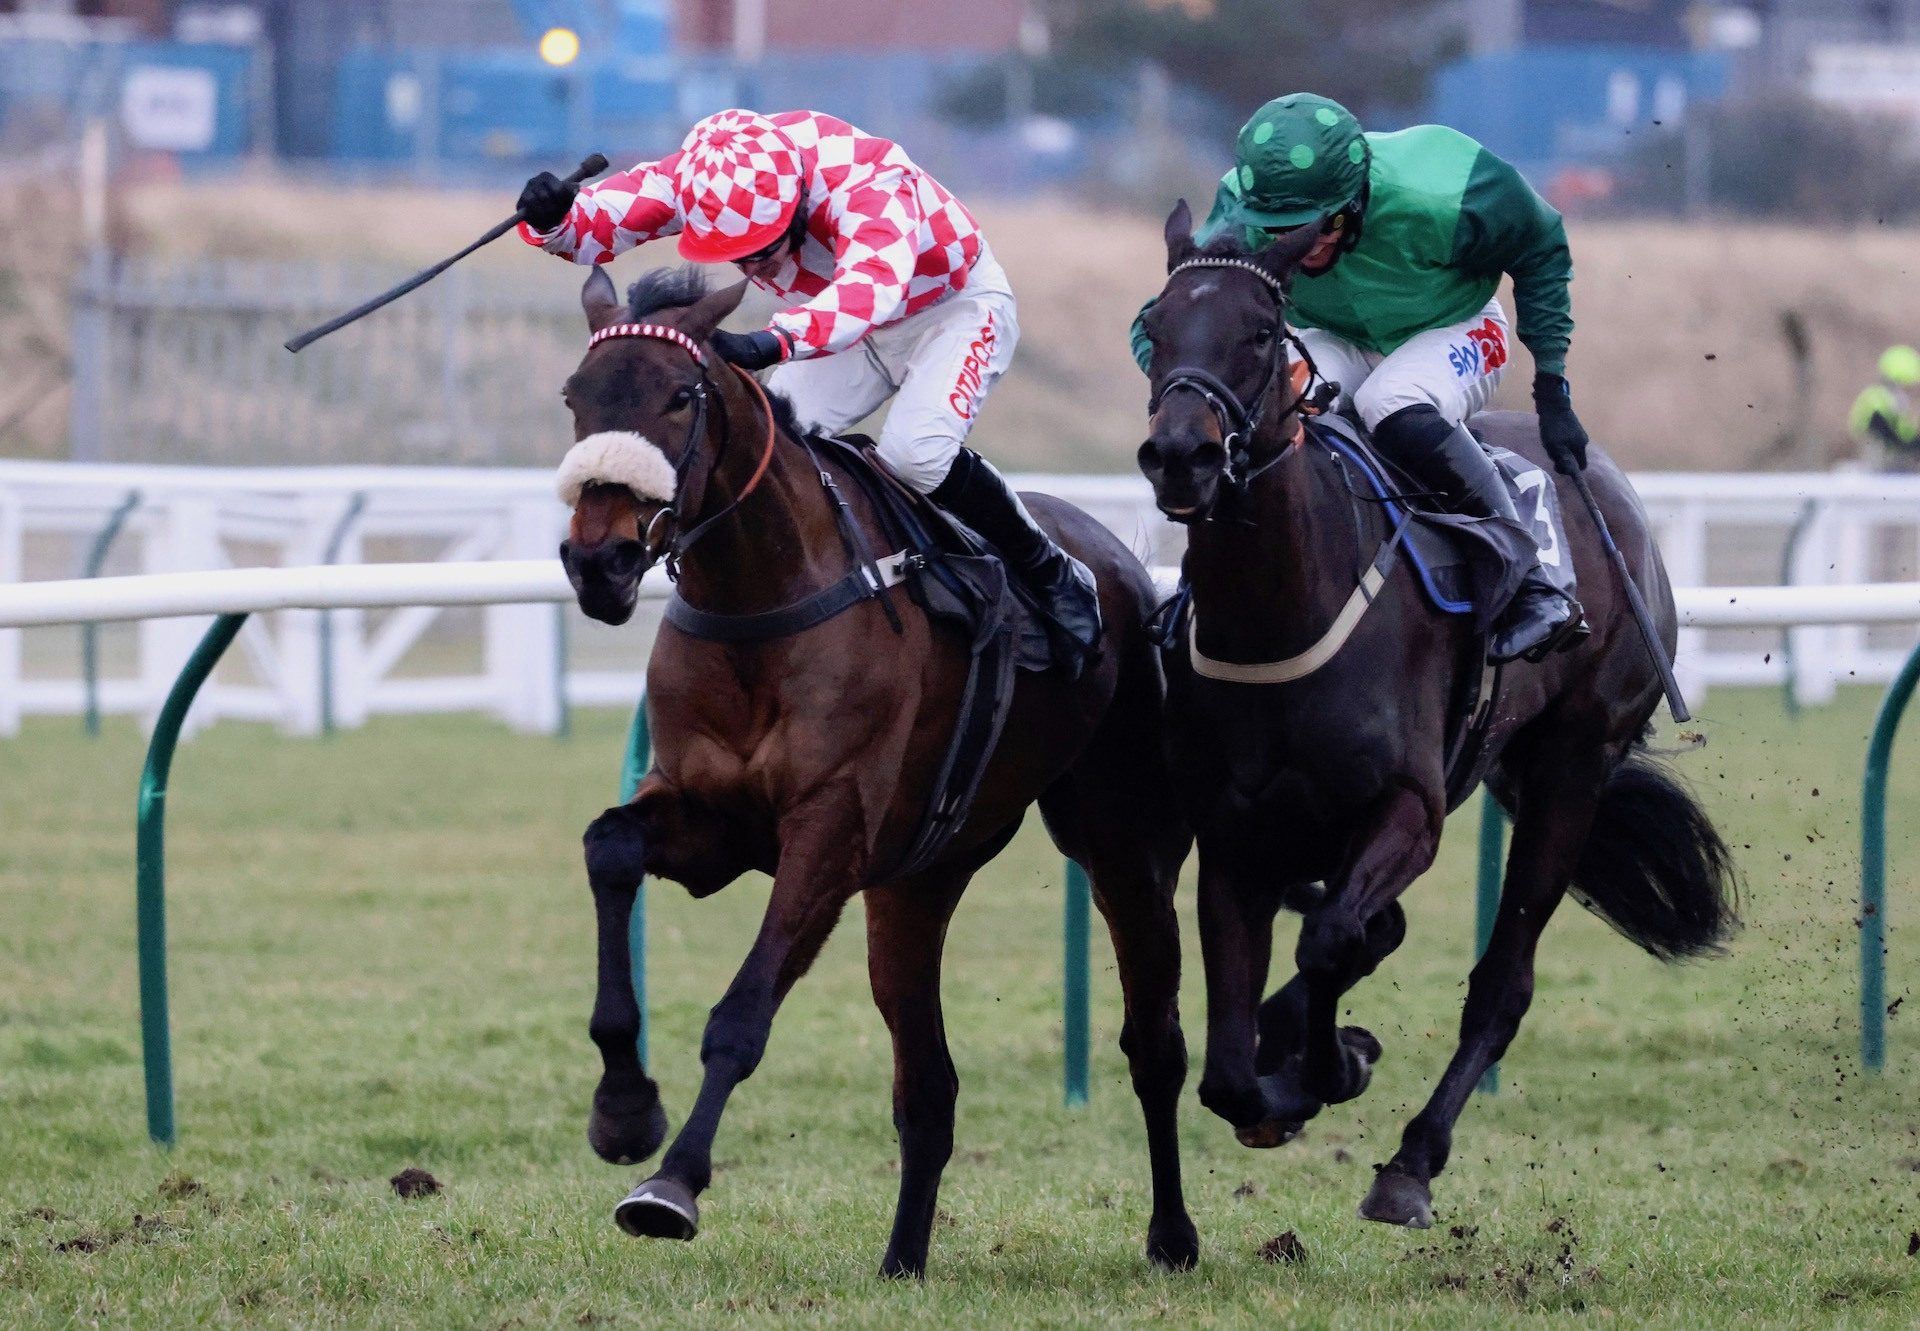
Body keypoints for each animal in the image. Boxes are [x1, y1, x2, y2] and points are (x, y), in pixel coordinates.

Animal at [549, 265, 1190, 1275]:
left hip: (1125, 844)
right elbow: (608, 847)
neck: (763, 598)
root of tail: (1121, 563)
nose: (598, 560)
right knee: (928, 1087)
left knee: (1155, 1042)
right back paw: (902, 1259)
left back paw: (1171, 1234)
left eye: (680, 395)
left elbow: (742, 1015)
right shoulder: (708, 817)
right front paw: (623, 1108)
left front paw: (671, 1184)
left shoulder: (828, 831)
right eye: (577, 396)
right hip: (918, 881)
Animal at [1128, 202, 1735, 1229]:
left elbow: (1331, 943)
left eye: (1259, 332)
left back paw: (1411, 1161)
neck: (1283, 607)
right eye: (1155, 329)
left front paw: (1331, 1068)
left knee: (1502, 981)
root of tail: (1612, 489)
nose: (1182, 454)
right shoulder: (1236, 836)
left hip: (1574, 763)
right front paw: (1294, 1075)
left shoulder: (1408, 809)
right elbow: (1229, 1070)